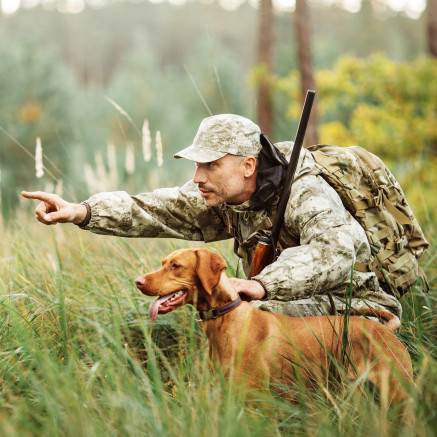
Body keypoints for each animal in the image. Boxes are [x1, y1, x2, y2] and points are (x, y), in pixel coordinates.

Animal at [135, 247, 412, 404]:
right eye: (163, 263)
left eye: (176, 266)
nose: (138, 282)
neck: (226, 318)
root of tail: (385, 330)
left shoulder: (256, 399)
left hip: (397, 392)